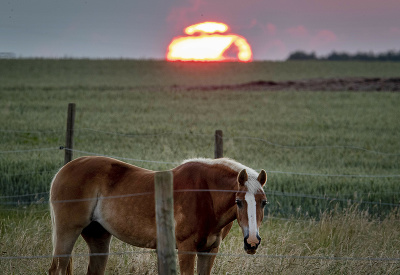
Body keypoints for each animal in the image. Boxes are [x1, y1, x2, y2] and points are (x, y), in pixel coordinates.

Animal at [48, 157, 268, 275]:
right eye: (238, 202)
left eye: (264, 202)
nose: (252, 241)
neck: (204, 193)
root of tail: (63, 170)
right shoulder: (186, 248)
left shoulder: (209, 250)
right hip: (67, 233)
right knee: (56, 269)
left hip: (98, 237)